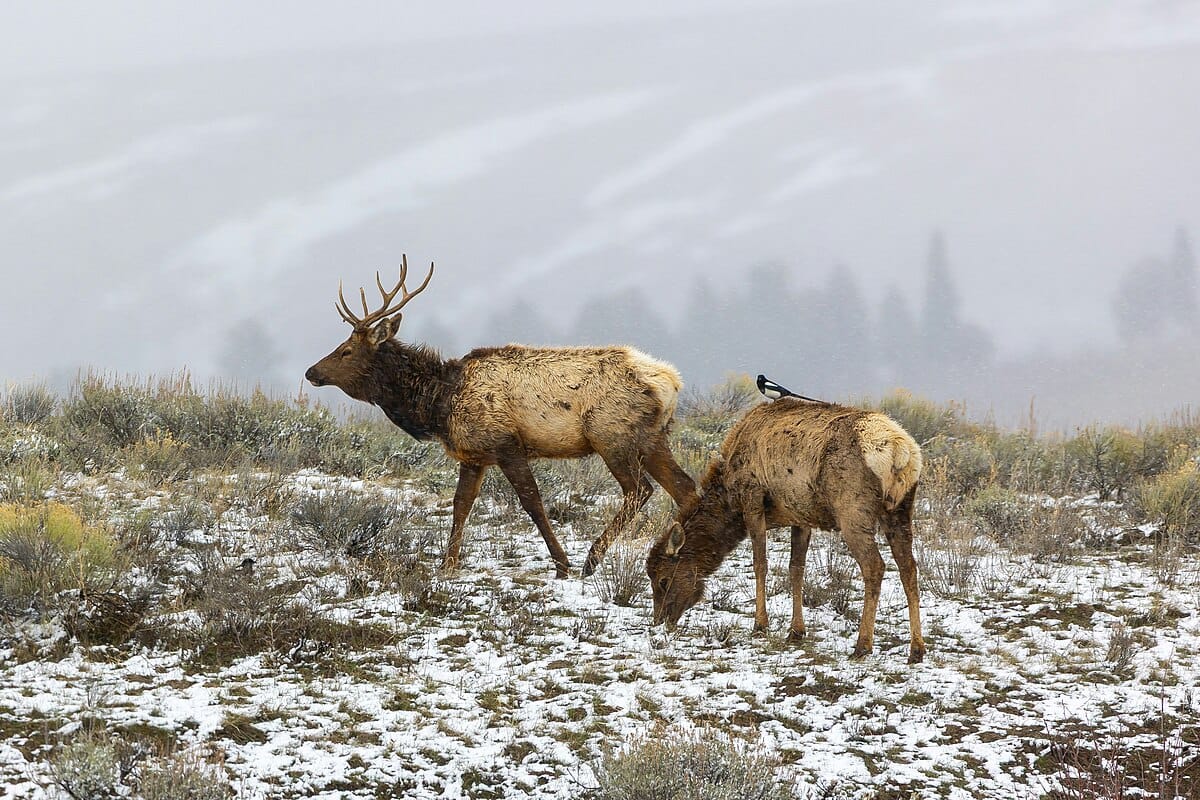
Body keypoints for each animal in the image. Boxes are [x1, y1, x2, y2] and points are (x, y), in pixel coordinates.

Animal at [305, 257, 699, 579]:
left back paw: (591, 559)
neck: (439, 403)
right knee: (684, 486)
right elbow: (461, 505)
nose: (311, 372)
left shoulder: (506, 443)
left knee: (639, 489)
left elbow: (532, 502)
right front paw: (447, 565)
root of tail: (670, 382)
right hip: (652, 438)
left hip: (611, 435)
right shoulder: (474, 455)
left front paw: (562, 564)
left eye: (346, 350)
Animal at [645, 397, 925, 663]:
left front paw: (760, 625)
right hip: (900, 510)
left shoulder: (753, 499)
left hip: (853, 511)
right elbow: (796, 569)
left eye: (663, 580)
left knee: (874, 566)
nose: (660, 621)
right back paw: (916, 649)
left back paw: (862, 645)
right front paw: (796, 631)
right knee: (909, 567)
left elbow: (760, 564)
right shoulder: (800, 516)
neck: (728, 497)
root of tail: (902, 452)